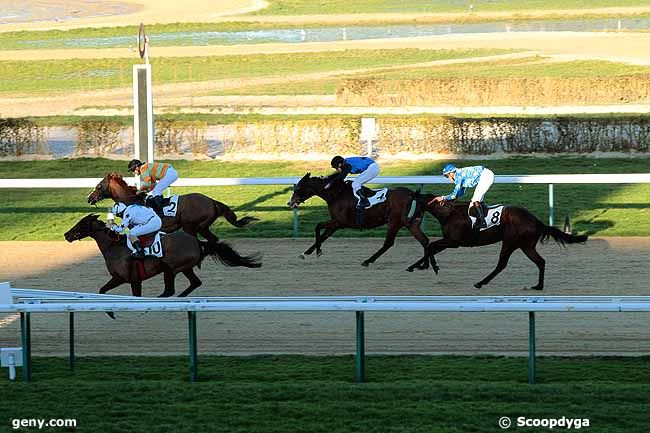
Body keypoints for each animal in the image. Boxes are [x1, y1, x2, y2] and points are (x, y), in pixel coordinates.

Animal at [63, 213, 260, 296]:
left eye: (81, 224)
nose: (66, 235)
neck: (114, 246)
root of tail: (197, 241)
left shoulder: (128, 279)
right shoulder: (129, 280)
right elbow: (103, 290)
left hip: (171, 268)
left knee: (169, 290)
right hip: (185, 268)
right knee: (195, 283)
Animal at [85, 172, 256, 246]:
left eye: (99, 186)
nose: (89, 198)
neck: (132, 200)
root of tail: (212, 201)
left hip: (191, 226)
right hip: (202, 227)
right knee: (212, 239)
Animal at [284, 172, 426, 266]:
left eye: (298, 188)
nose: (290, 203)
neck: (336, 194)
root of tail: (413, 194)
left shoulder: (339, 222)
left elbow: (318, 226)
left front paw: (317, 251)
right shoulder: (336, 224)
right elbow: (324, 235)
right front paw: (306, 253)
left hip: (393, 222)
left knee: (388, 243)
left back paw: (367, 261)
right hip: (411, 223)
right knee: (424, 241)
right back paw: (423, 263)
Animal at [408, 193, 584, 290]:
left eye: (412, 203)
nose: (409, 220)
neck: (449, 213)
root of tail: (536, 221)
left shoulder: (453, 241)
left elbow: (430, 246)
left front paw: (432, 267)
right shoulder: (449, 241)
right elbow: (430, 248)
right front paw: (416, 266)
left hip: (510, 242)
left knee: (502, 264)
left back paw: (480, 283)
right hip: (525, 246)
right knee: (540, 262)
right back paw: (538, 286)